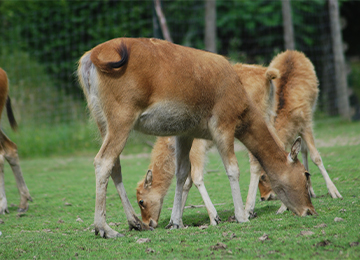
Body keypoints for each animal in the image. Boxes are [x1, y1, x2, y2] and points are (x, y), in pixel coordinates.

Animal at [77, 37, 314, 239]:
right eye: (305, 174)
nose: (310, 211)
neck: (242, 108)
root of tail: (89, 57)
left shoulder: (186, 133)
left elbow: (182, 174)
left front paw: (176, 222)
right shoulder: (222, 124)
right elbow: (232, 169)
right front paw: (240, 216)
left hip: (100, 120)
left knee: (115, 164)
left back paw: (134, 223)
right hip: (122, 116)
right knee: (103, 161)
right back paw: (105, 229)